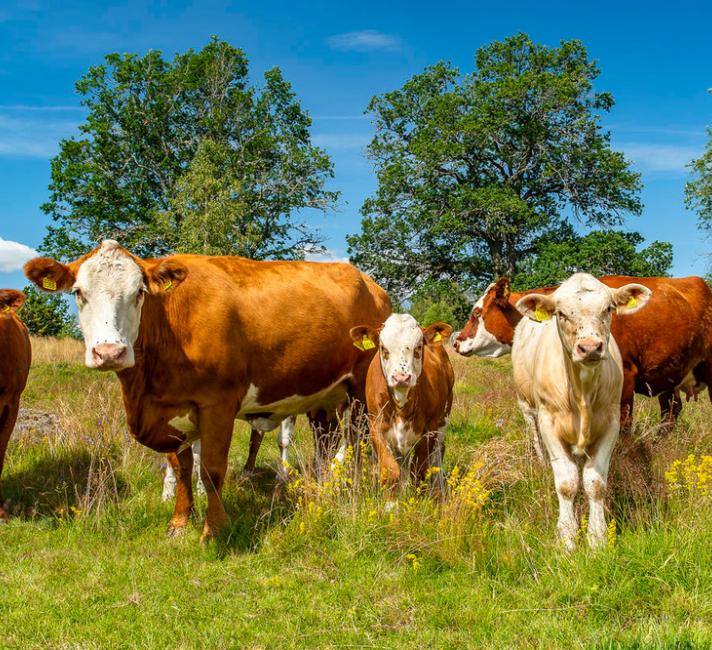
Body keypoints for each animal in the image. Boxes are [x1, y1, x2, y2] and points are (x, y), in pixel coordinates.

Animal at [23, 240, 390, 540]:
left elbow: (212, 470)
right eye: (78, 293)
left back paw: (355, 488)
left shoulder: (218, 405)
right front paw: (179, 523)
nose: (110, 352)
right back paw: (322, 490)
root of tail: (370, 283)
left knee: (359, 441)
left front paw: (213, 529)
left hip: (361, 390)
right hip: (325, 397)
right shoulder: (171, 411)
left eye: (139, 292)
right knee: (326, 443)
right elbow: (181, 468)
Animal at [348, 316, 454, 492]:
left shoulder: (430, 430)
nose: (401, 377)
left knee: (438, 454)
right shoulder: (375, 426)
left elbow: (419, 471)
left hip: (443, 422)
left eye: (418, 347)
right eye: (383, 348)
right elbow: (390, 471)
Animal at [512, 270, 652, 544]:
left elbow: (595, 483)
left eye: (608, 309)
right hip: (526, 407)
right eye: (561, 313)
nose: (589, 347)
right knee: (535, 437)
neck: (582, 393)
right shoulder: (549, 423)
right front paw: (566, 536)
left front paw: (597, 537)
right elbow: (566, 484)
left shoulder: (611, 423)